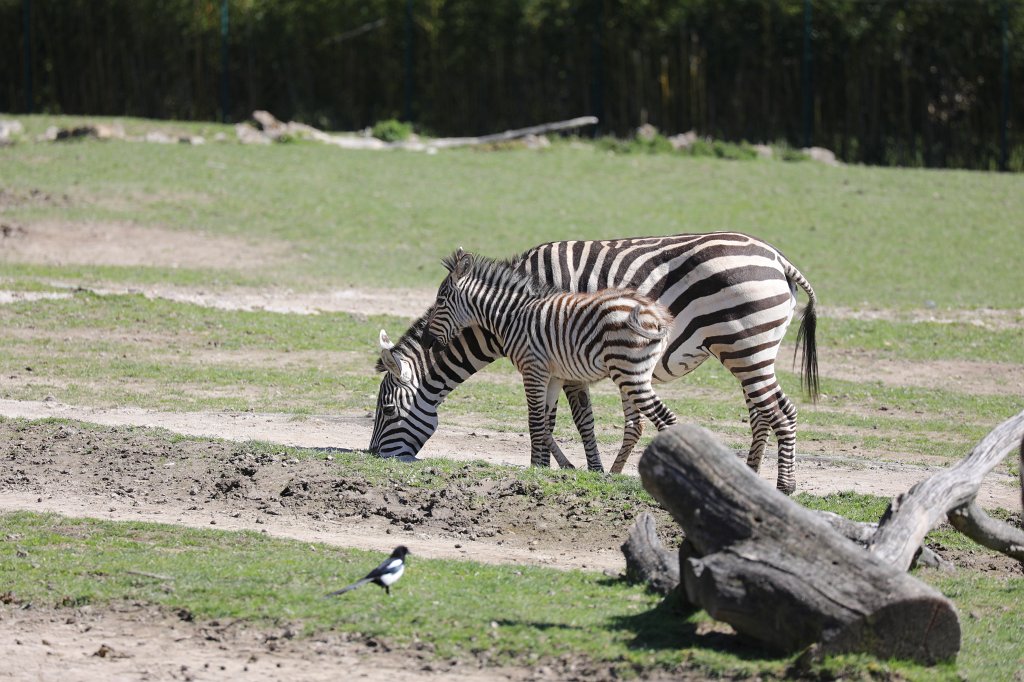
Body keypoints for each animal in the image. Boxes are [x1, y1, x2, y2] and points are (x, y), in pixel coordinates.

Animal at [421, 248, 679, 470]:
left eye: (441, 301)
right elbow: (545, 424)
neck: (513, 316)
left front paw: (535, 467)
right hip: (634, 373)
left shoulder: (532, 369)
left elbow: (535, 421)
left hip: (630, 374)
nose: (425, 341)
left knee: (666, 419)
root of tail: (655, 314)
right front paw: (546, 467)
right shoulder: (553, 376)